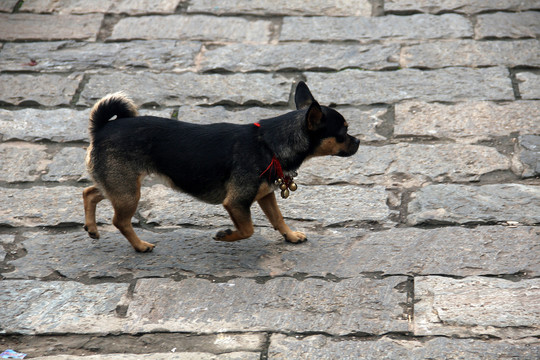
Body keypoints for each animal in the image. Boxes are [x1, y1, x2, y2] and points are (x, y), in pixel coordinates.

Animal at [83, 81, 358, 253]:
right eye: (343, 133)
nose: (358, 141)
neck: (269, 143)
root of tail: (102, 128)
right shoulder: (236, 203)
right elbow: (248, 229)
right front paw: (226, 235)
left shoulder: (266, 195)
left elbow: (278, 218)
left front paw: (290, 236)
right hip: (128, 191)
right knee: (119, 220)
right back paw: (140, 245)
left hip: (120, 186)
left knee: (90, 192)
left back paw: (92, 228)